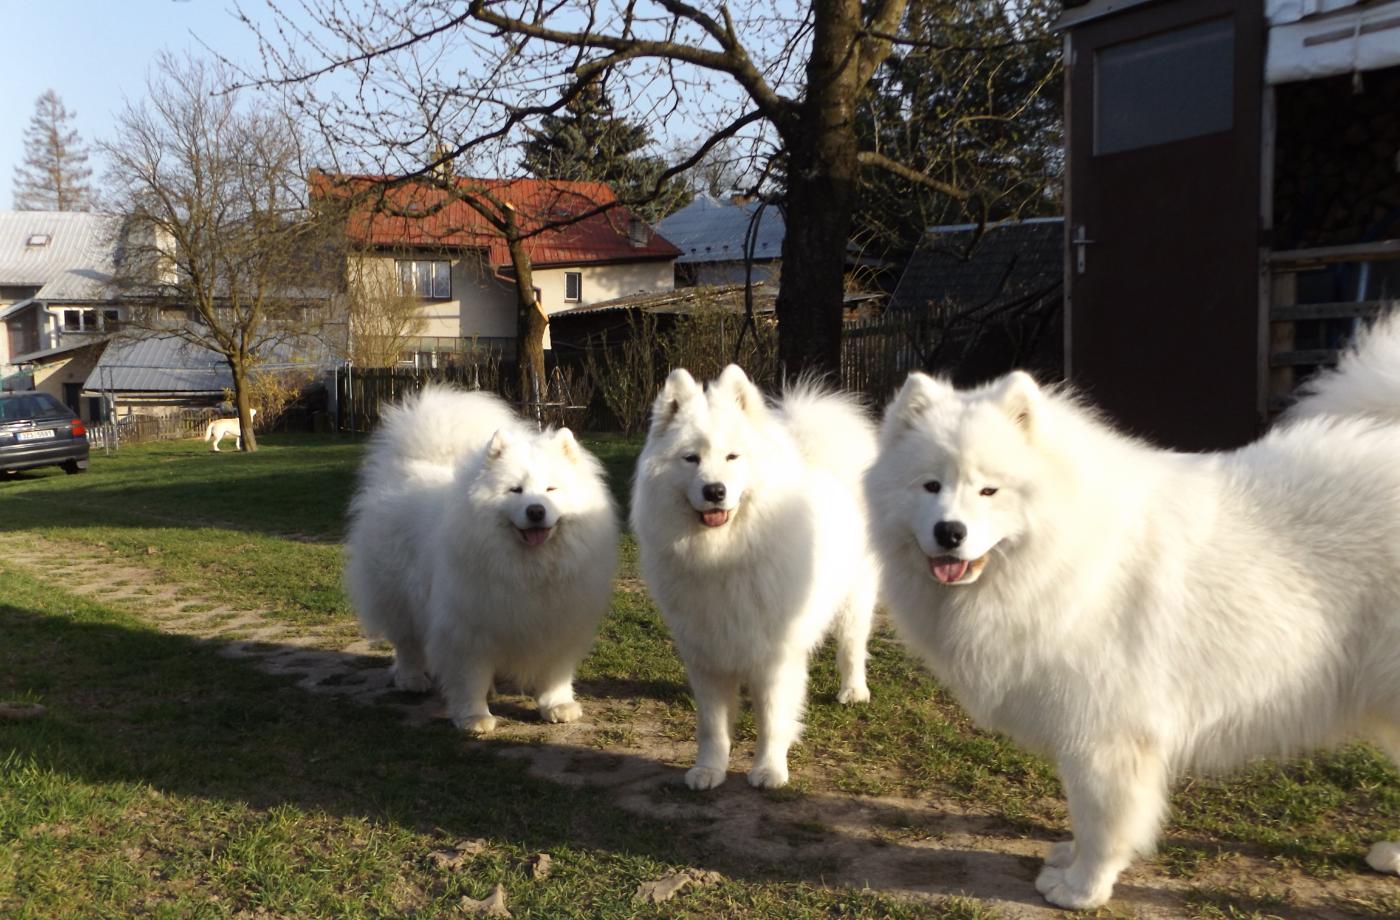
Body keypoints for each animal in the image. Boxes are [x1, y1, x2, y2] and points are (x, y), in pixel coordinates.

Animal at [344, 386, 618, 733]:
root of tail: (412, 469)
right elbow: (469, 677)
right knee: (407, 644)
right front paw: (475, 717)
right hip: (398, 596)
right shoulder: (467, 627)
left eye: (551, 489)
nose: (536, 511)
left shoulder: (558, 623)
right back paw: (411, 679)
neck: (529, 568)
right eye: (515, 490)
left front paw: (557, 705)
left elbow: (555, 672)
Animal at [631, 365, 878, 789]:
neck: (724, 555)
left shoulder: (776, 658)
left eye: (732, 456)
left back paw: (853, 690)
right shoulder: (706, 654)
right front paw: (709, 769)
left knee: (852, 646)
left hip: (854, 602)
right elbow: (712, 726)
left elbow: (773, 720)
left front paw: (769, 770)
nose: (714, 491)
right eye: (691, 459)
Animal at [865, 314, 1400, 909]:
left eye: (989, 490)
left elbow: (1101, 821)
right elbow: (1083, 818)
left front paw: (1082, 889)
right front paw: (1069, 861)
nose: (949, 533)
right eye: (930, 485)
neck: (1065, 551)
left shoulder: (1105, 733)